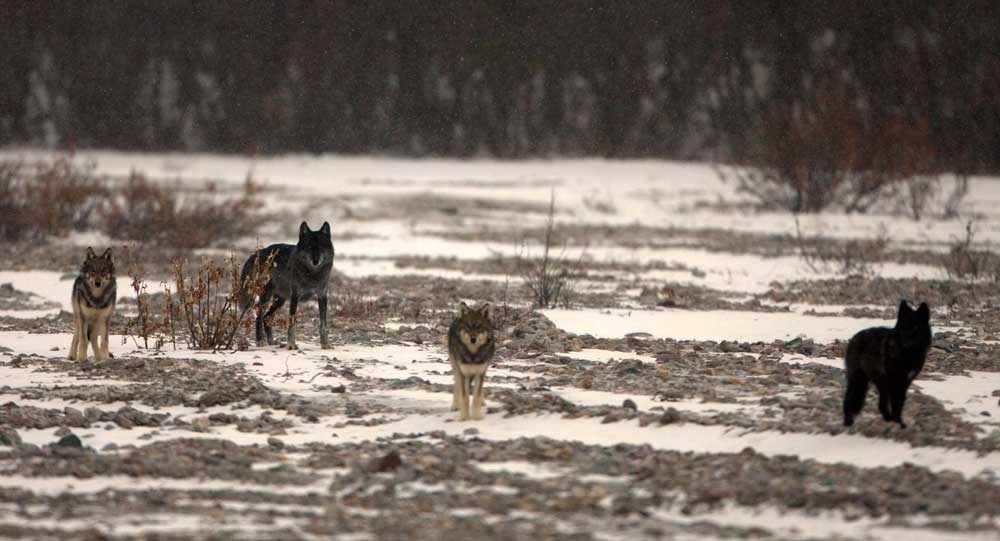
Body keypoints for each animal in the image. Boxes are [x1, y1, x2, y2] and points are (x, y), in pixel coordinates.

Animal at [840, 298, 932, 428]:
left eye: (916, 327)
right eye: (903, 327)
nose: (906, 344)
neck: (907, 355)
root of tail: (854, 337)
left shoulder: (905, 382)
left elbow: (899, 403)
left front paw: (899, 423)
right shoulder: (896, 381)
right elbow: (896, 403)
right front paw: (899, 423)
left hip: (879, 383)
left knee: (880, 405)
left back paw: (888, 418)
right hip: (860, 381)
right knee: (849, 400)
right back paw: (848, 422)